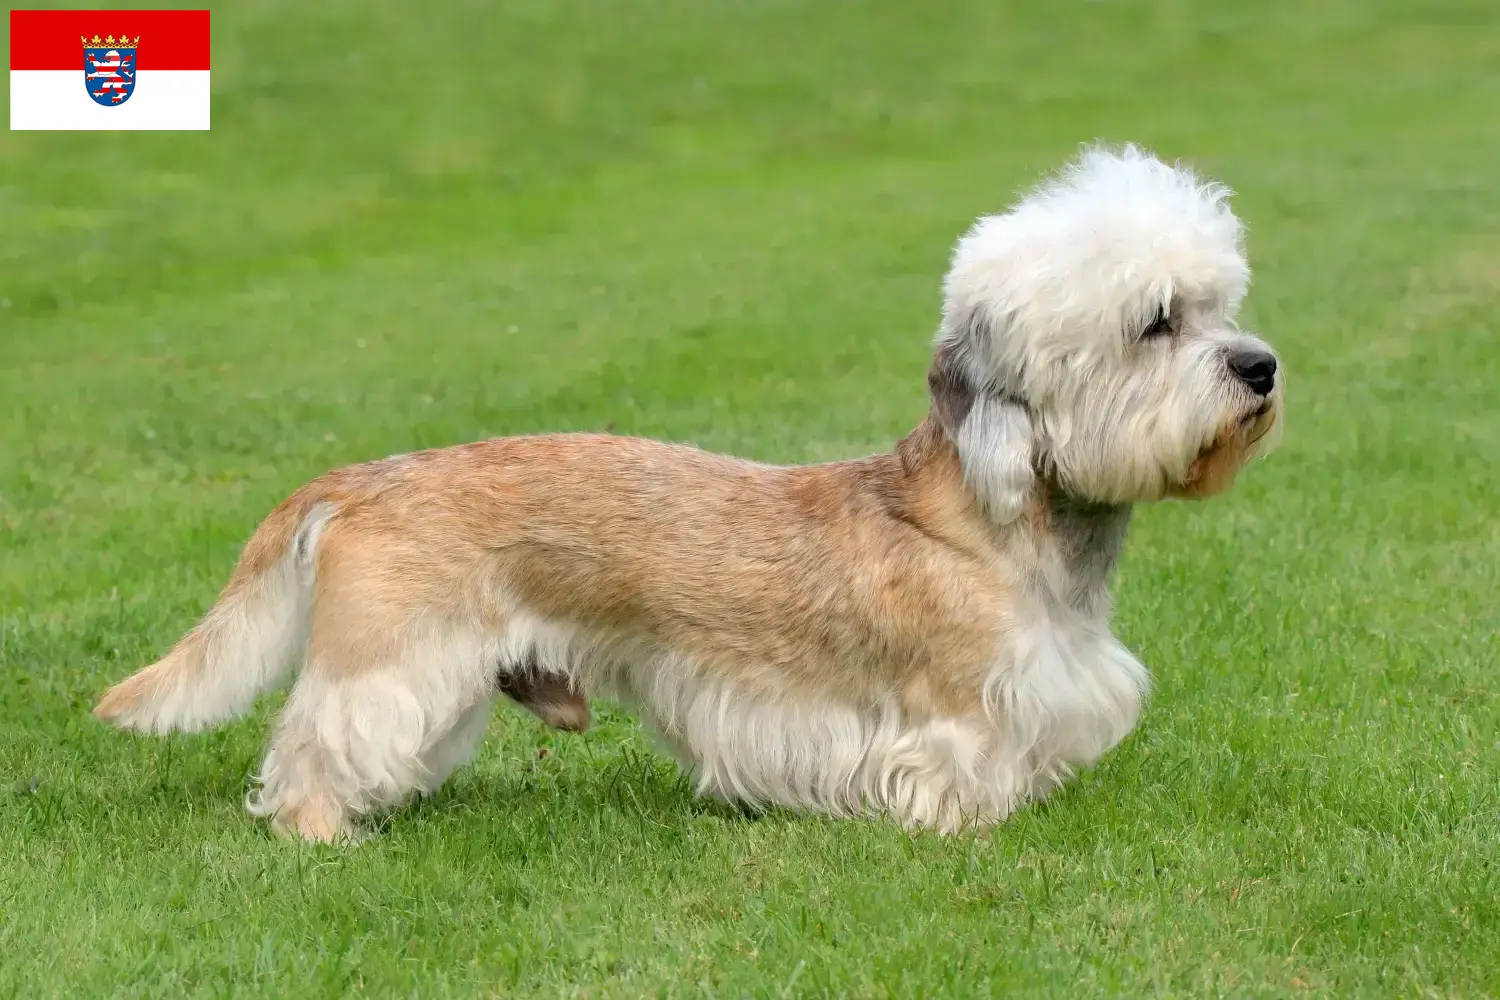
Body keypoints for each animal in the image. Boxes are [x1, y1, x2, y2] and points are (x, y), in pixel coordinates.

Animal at [93, 144, 1284, 839]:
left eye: (1224, 306)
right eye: (1156, 322)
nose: (1262, 367)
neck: (1006, 526)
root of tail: (357, 481)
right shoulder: (955, 711)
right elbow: (957, 772)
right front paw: (964, 825)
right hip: (388, 664)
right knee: (314, 742)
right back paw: (319, 831)